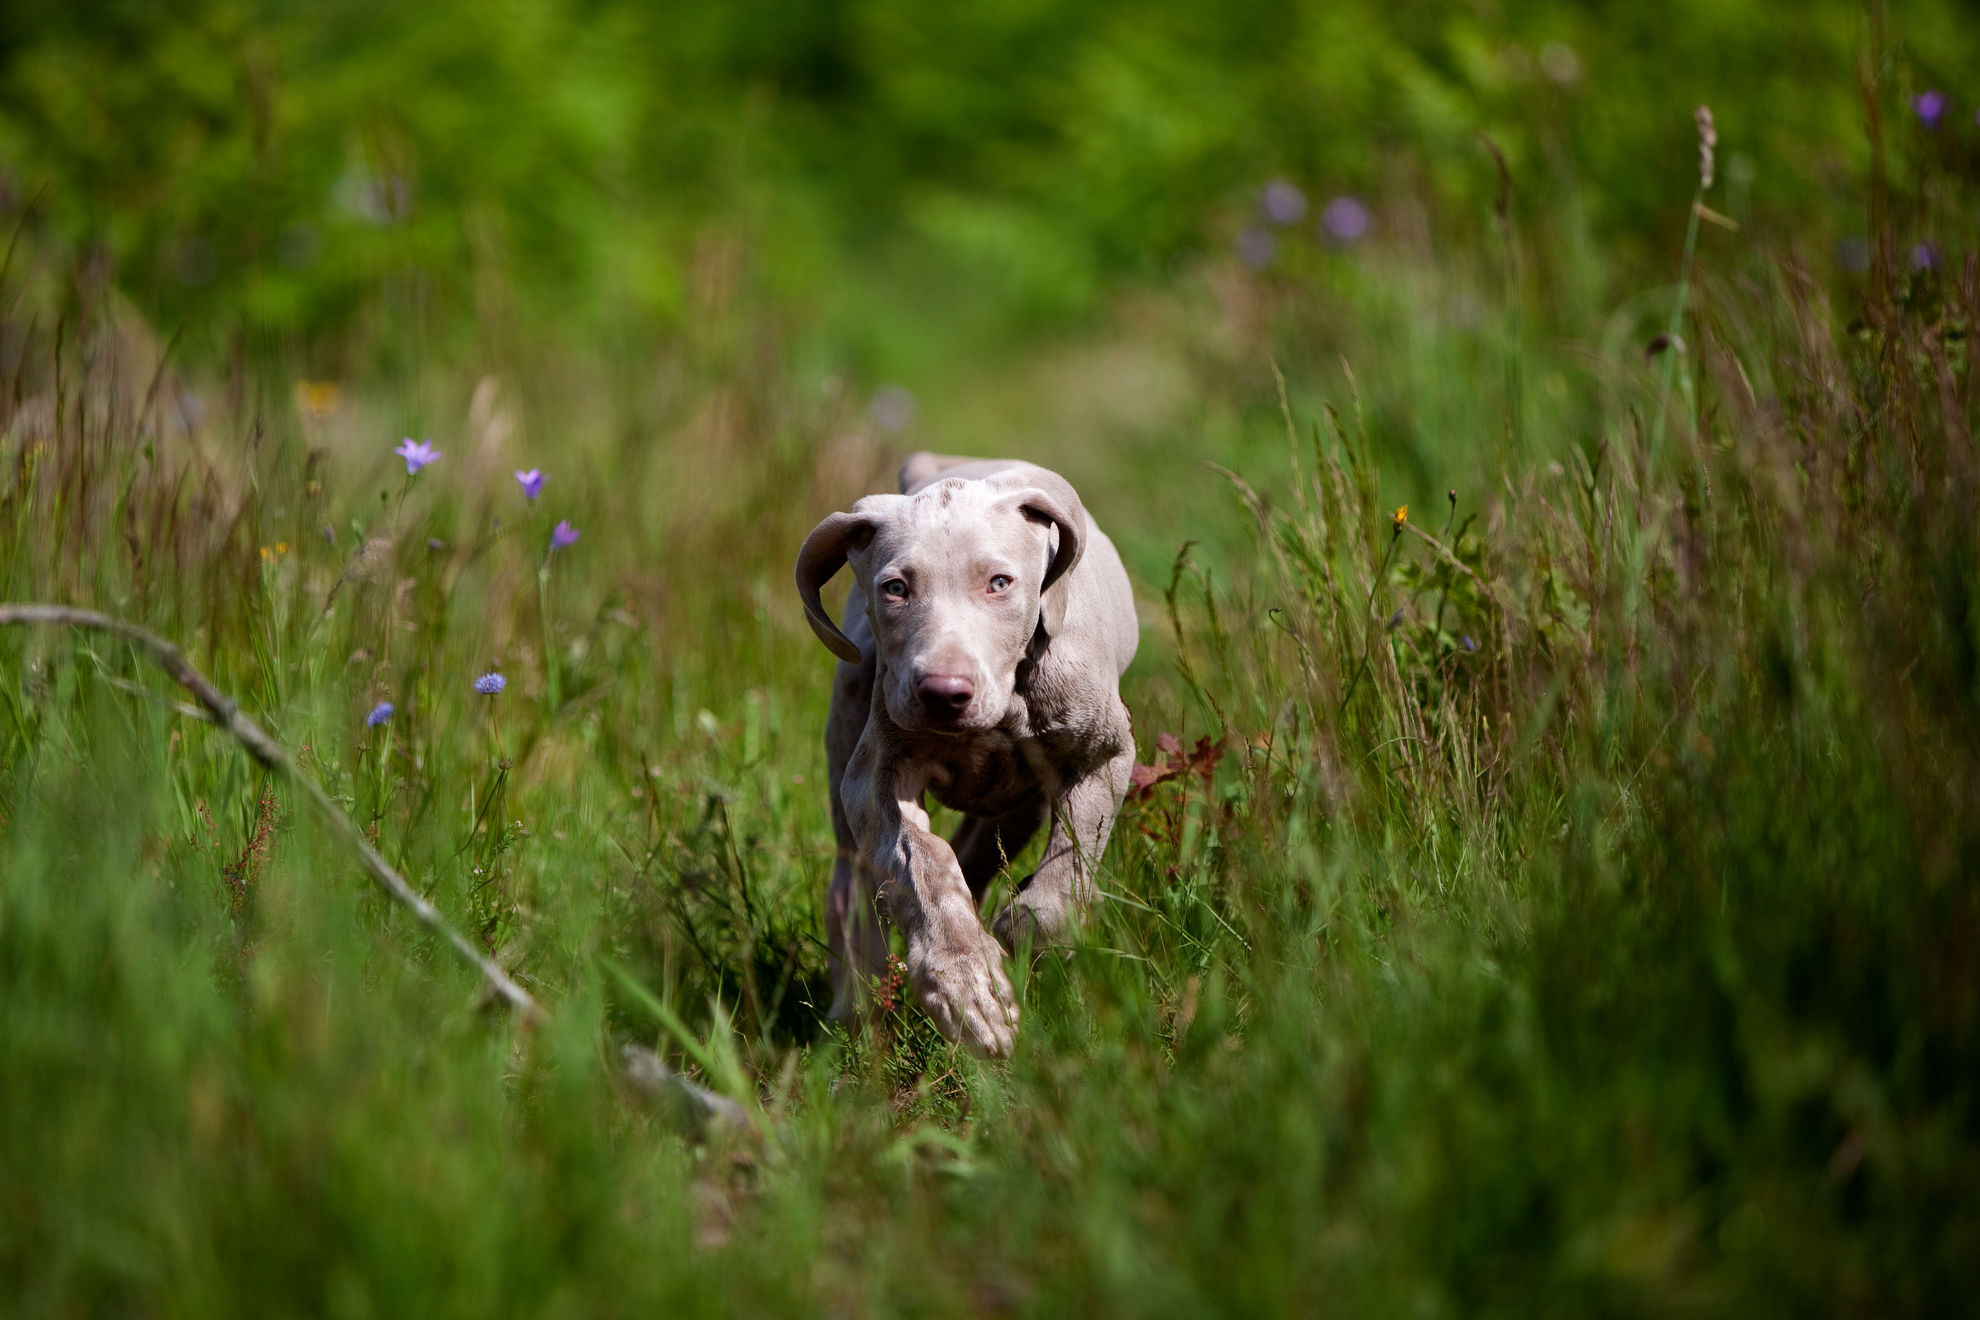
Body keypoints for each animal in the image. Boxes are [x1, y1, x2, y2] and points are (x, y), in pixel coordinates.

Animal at [792, 451, 1140, 1052]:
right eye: (895, 588)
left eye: (1000, 583)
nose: (943, 694)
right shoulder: (875, 775)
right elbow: (922, 862)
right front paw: (967, 984)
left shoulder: (1102, 759)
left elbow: (1061, 888)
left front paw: (1009, 940)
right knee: (853, 889)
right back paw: (857, 1006)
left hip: (1021, 803)